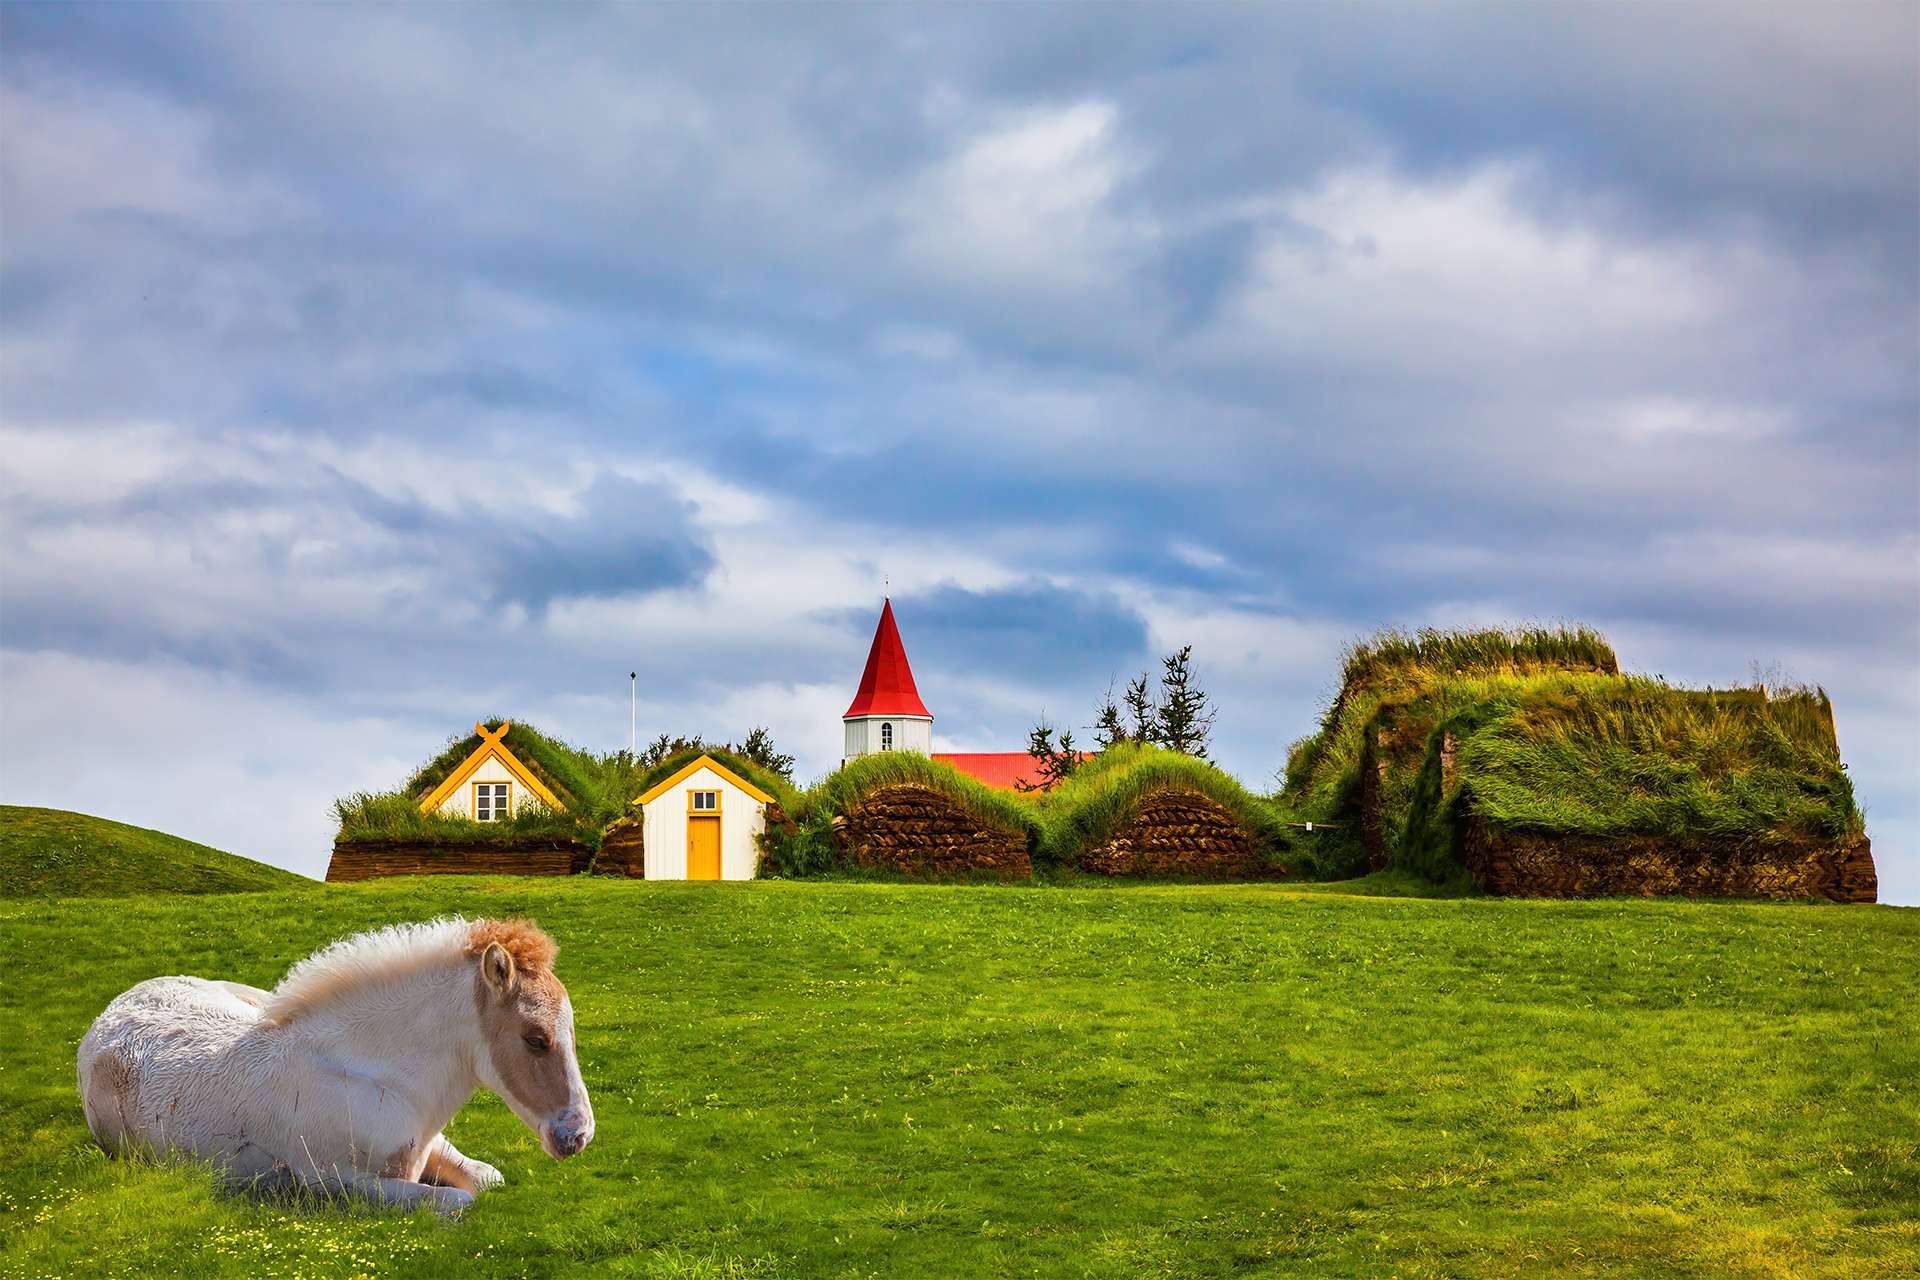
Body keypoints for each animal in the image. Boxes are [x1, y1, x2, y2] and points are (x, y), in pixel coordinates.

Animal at [72, 917, 591, 1220]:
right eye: (536, 1039)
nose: (578, 1136)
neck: (373, 1077)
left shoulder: (431, 1143)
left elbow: (487, 1178)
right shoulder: (334, 1182)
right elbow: (460, 1200)